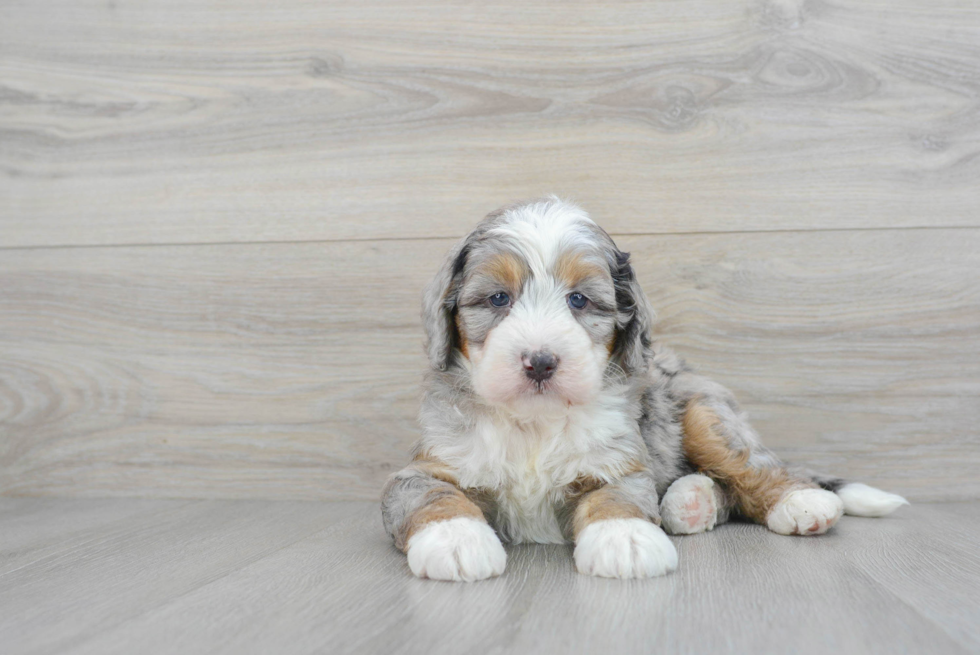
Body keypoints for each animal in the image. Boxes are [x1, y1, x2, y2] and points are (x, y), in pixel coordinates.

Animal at [378, 197, 908, 580]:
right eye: (497, 299)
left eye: (579, 300)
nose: (541, 362)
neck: (535, 422)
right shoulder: (426, 467)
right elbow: (434, 497)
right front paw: (455, 540)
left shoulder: (618, 462)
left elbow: (619, 497)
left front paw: (625, 539)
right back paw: (690, 503)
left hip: (703, 412)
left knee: (753, 466)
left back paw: (798, 502)